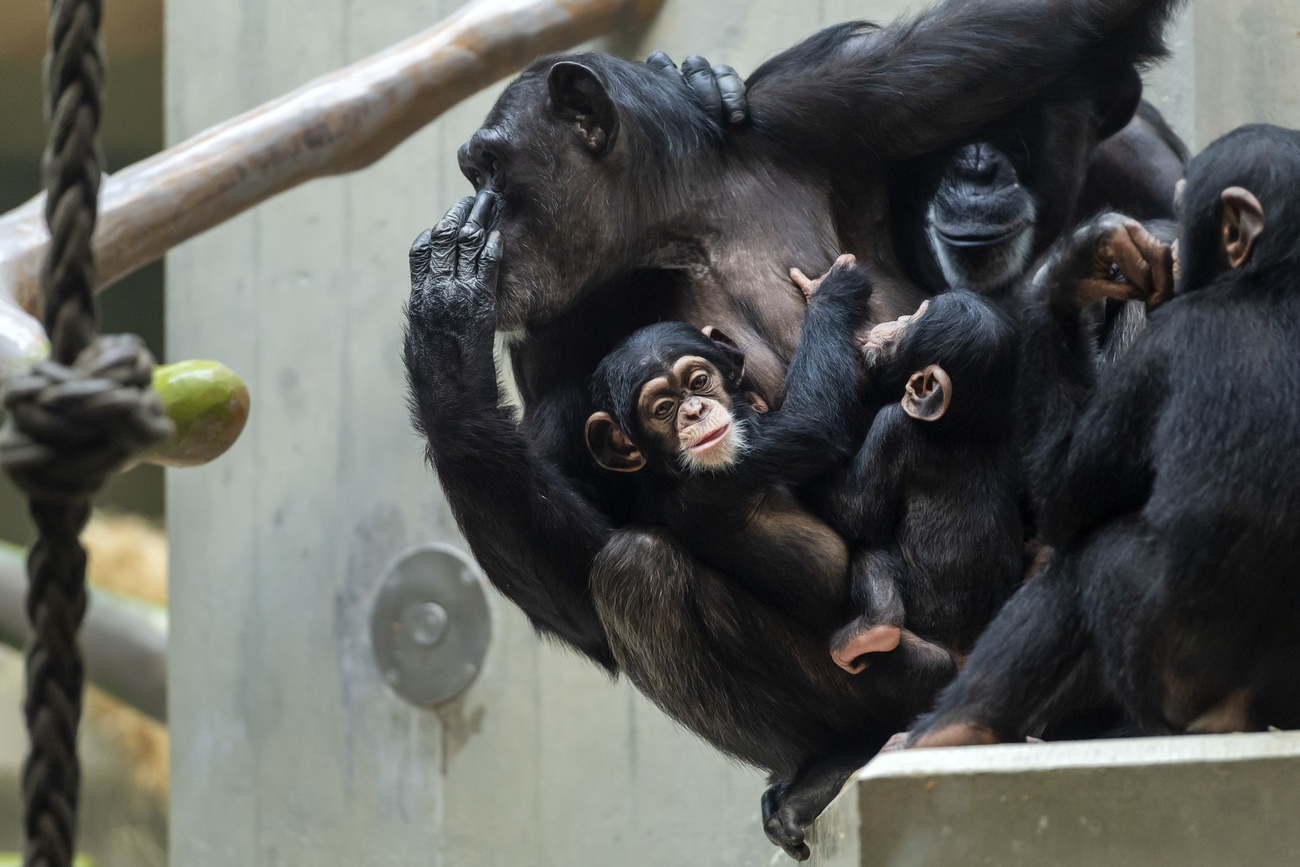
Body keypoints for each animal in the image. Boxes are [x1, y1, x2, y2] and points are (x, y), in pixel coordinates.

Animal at [403, 0, 1180, 852]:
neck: (672, 217)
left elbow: (1054, 30)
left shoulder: (833, 97)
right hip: (905, 682)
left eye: (490, 168)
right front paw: (444, 334)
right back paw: (832, 760)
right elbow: (580, 580)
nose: (473, 211)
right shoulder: (547, 333)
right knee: (638, 574)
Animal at [909, 123, 1300, 753]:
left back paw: (950, 729)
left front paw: (1073, 268)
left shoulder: (1157, 358)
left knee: (1084, 559)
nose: (1172, 250)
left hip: (1165, 671)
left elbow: (1067, 494)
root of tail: (1237, 717)